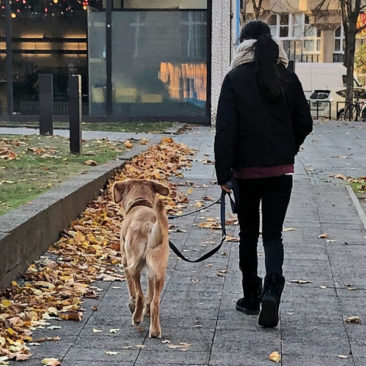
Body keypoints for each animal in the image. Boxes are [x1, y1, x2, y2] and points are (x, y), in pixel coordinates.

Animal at [111, 179, 170, 338]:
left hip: (133, 265)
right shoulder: (151, 271)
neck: (140, 203)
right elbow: (150, 293)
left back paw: (137, 317)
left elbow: (132, 290)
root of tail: (150, 226)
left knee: (139, 295)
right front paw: (147, 310)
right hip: (159, 270)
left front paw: (132, 306)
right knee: (155, 301)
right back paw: (155, 330)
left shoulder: (124, 260)